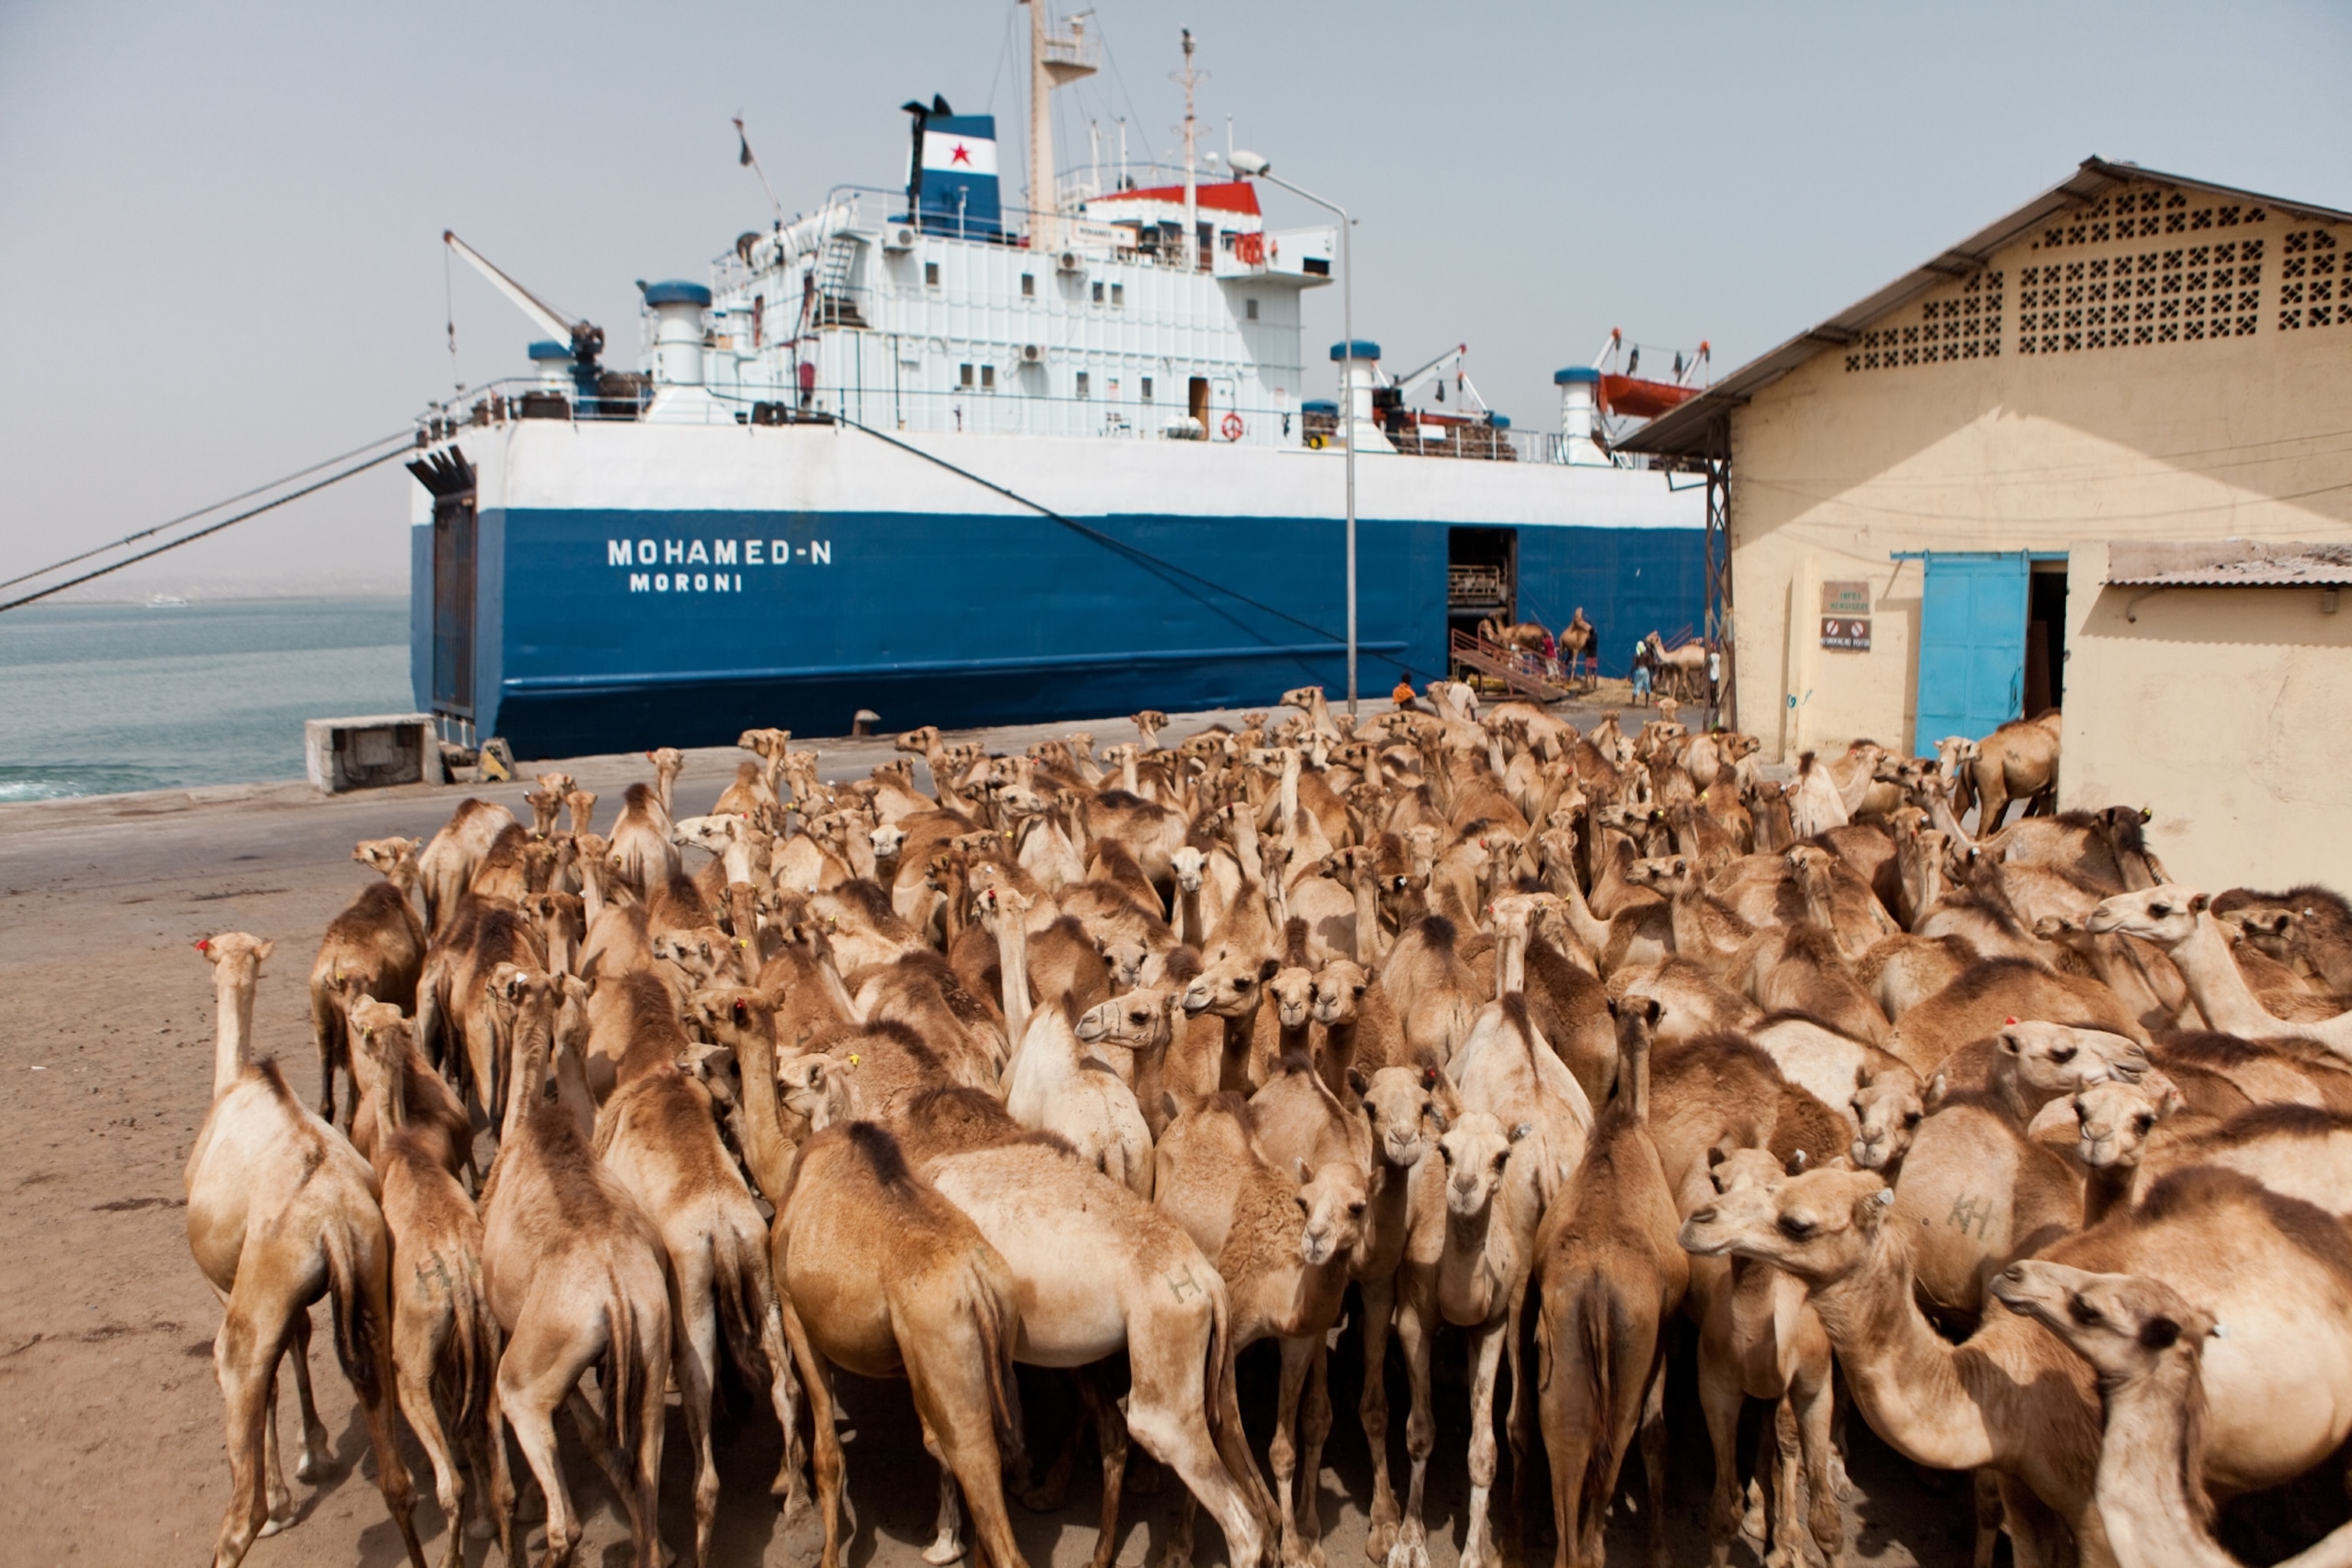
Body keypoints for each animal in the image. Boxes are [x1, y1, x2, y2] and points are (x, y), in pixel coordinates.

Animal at [183, 933, 427, 1568]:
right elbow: (302, 1338)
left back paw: (260, 1513)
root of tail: (335, 1221)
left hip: (258, 1300)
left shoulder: (226, 1282)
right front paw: (315, 1450)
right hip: (370, 1274)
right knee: (398, 1479)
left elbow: (269, 1381)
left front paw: (287, 1492)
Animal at [311, 837, 428, 1123]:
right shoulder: (407, 1000)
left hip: (320, 1018)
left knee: (327, 1098)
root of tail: (332, 966)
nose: (357, 849)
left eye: (377, 851)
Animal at [475, 964, 673, 1568]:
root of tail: (615, 1295)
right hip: (652, 1357)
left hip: (526, 1379)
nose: (486, 980)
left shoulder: (499, 1319)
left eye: (502, 986)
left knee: (567, 1527)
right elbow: (603, 1442)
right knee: (645, 1471)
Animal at [1531, 997, 1687, 1568]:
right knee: (1615, 1448)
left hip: (1562, 1365)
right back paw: (1600, 1546)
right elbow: (1656, 1434)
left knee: (1566, 1448)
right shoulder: (1664, 1331)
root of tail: (1597, 1290)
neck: (1629, 1122)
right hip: (1629, 1356)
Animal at [1679, 1162, 2352, 1566]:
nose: (1698, 1220)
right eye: (1777, 1187)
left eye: (1797, 1223)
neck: (2007, 1383)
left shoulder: (2101, 1514)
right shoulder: (2023, 1481)